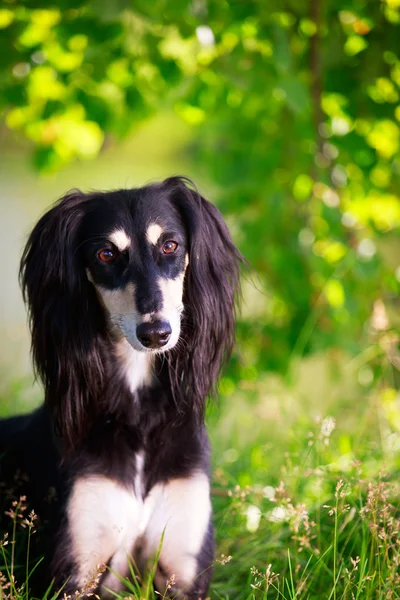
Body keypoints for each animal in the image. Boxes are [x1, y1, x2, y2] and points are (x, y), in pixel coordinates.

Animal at [0, 178, 242, 600]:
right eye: (106, 253)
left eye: (170, 245)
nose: (156, 333)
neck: (139, 419)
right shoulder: (75, 574)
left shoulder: (185, 571)